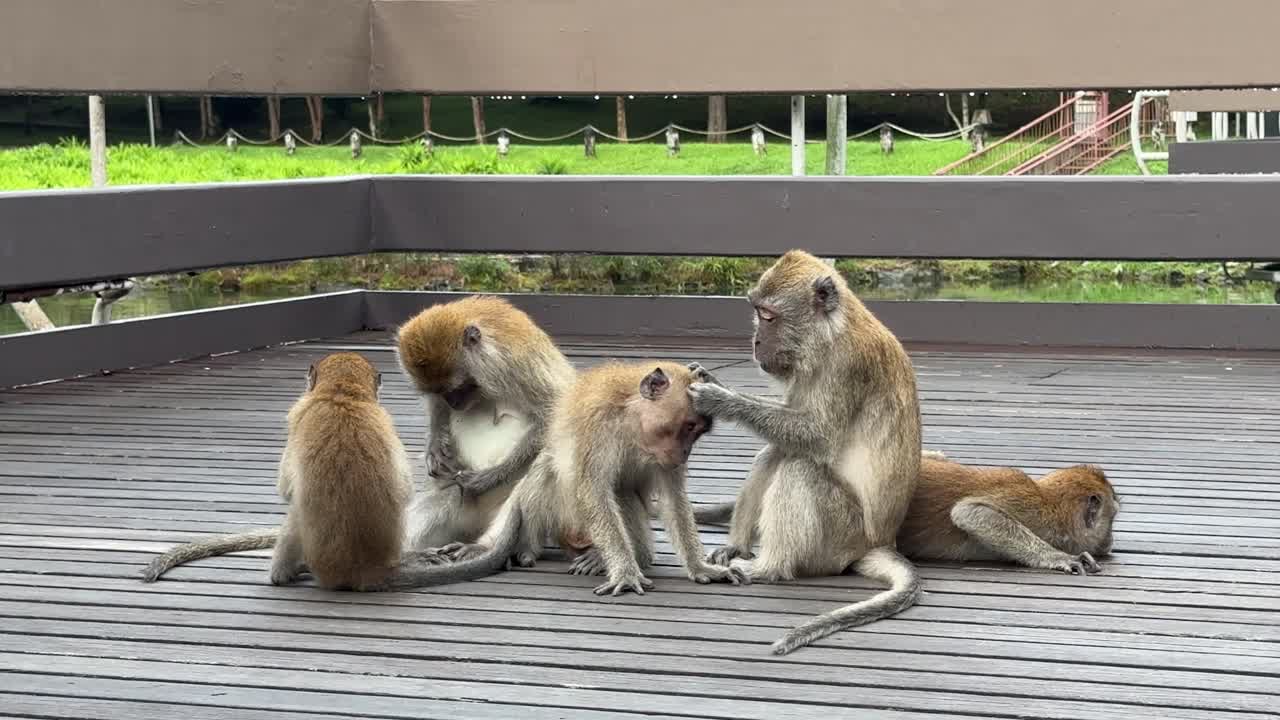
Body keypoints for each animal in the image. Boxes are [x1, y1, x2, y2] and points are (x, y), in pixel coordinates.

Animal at [142, 353, 413, 589]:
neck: (341, 394)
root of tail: (365, 569)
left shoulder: (298, 415)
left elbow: (286, 490)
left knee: (294, 511)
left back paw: (280, 575)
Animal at [384, 361, 746, 595]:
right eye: (688, 427)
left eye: (697, 432)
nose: (684, 453)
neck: (632, 422)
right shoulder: (595, 427)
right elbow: (592, 490)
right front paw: (625, 572)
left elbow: (671, 500)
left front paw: (700, 568)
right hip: (564, 521)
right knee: (553, 472)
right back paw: (524, 549)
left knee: (622, 490)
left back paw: (620, 556)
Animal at [686, 249, 922, 655]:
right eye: (756, 311)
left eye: (768, 315)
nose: (755, 342)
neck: (831, 334)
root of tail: (880, 542)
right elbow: (791, 429)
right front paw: (714, 381)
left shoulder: (847, 367)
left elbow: (817, 437)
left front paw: (719, 399)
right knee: (775, 454)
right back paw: (738, 548)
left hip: (842, 537)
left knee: (801, 467)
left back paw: (769, 568)